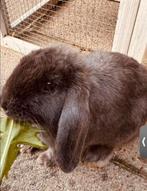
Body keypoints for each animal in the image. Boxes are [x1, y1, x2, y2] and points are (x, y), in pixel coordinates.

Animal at [0, 44, 147, 172]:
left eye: (49, 86)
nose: (3, 104)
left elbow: (53, 150)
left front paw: (44, 160)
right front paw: (26, 146)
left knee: (112, 145)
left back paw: (95, 157)